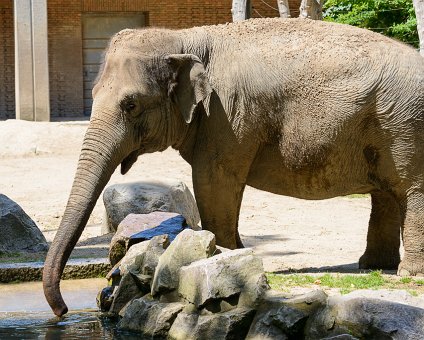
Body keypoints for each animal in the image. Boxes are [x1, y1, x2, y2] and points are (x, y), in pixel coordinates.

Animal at [43, 17, 424, 316]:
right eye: (93, 95)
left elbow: (214, 179)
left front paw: (223, 255)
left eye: (131, 104)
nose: (63, 311)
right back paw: (374, 266)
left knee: (410, 190)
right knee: (387, 192)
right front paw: (233, 254)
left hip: (405, 125)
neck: (183, 39)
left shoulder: (227, 114)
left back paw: (408, 275)